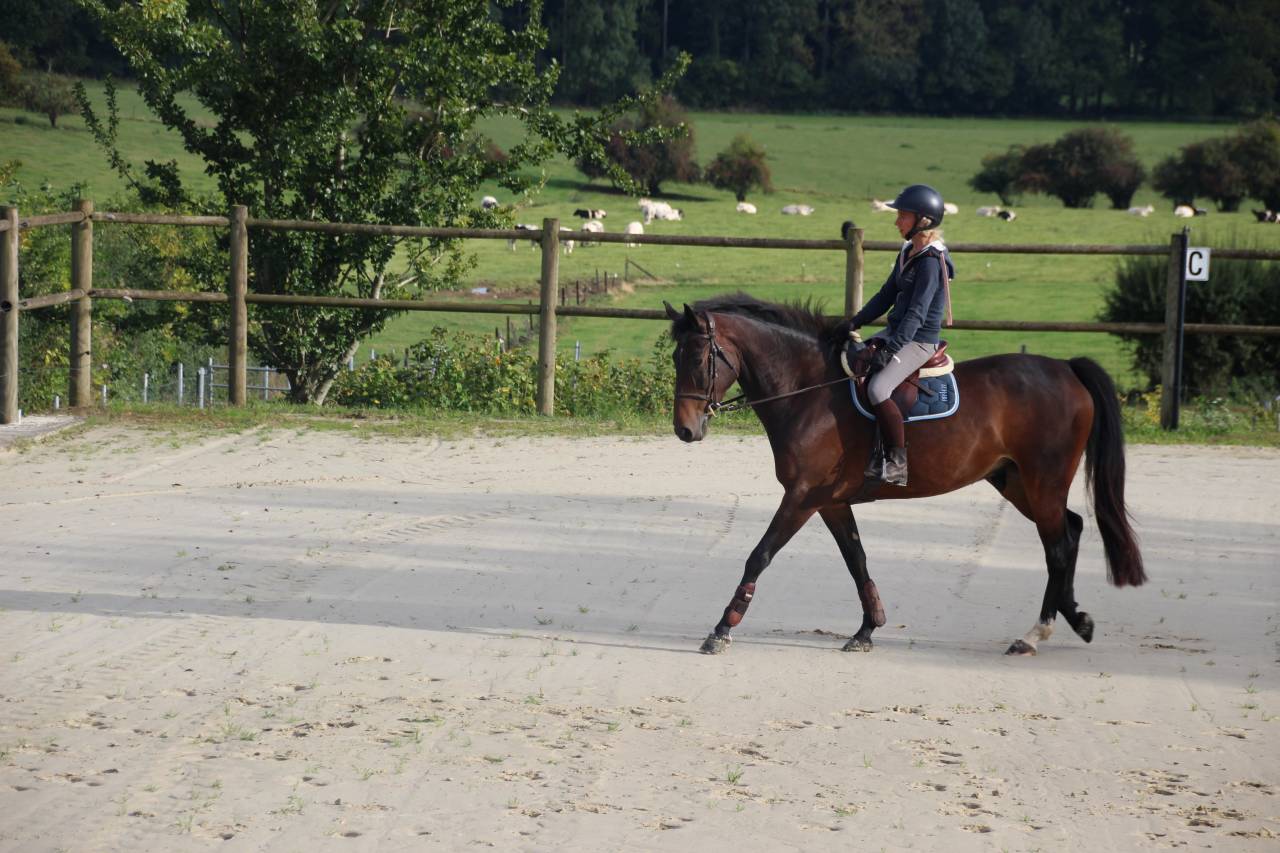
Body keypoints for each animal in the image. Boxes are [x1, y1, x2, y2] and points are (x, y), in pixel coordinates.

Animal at [664, 295, 1145, 656]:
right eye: (675, 357)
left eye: (699, 357)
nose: (685, 430)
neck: (809, 393)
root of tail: (1066, 368)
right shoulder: (830, 501)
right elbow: (856, 559)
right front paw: (867, 629)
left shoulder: (802, 497)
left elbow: (759, 555)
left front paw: (722, 629)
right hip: (1015, 482)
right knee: (1072, 529)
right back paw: (1075, 618)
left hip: (1043, 481)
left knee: (1059, 545)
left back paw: (1035, 634)